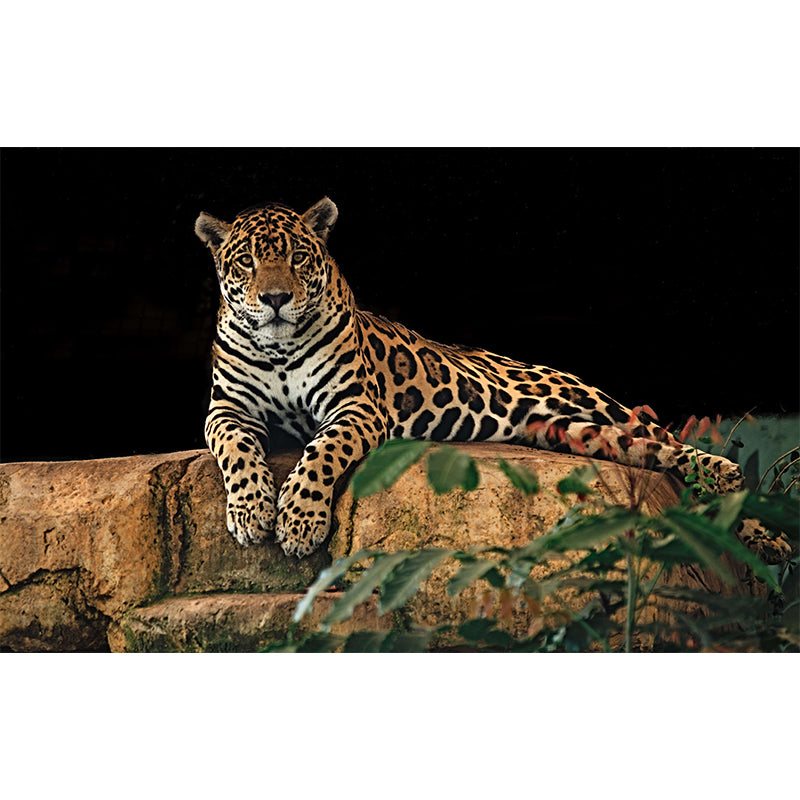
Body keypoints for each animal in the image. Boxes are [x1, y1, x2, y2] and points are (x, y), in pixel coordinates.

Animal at [195, 197, 793, 563]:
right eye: (246, 263)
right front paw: (250, 513)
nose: (276, 298)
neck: (279, 348)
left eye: (298, 258)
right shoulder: (226, 409)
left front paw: (298, 522)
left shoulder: (355, 406)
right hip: (575, 433)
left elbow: (321, 453)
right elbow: (235, 449)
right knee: (665, 457)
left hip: (594, 403)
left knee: (681, 446)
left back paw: (762, 526)